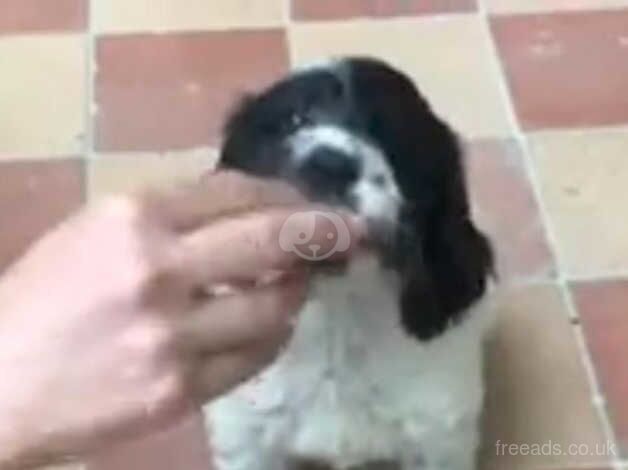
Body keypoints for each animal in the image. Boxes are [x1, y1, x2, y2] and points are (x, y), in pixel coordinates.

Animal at [206, 57, 496, 470]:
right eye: (294, 119)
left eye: (391, 136)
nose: (329, 164)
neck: (339, 318)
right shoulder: (246, 434)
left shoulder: (439, 434)